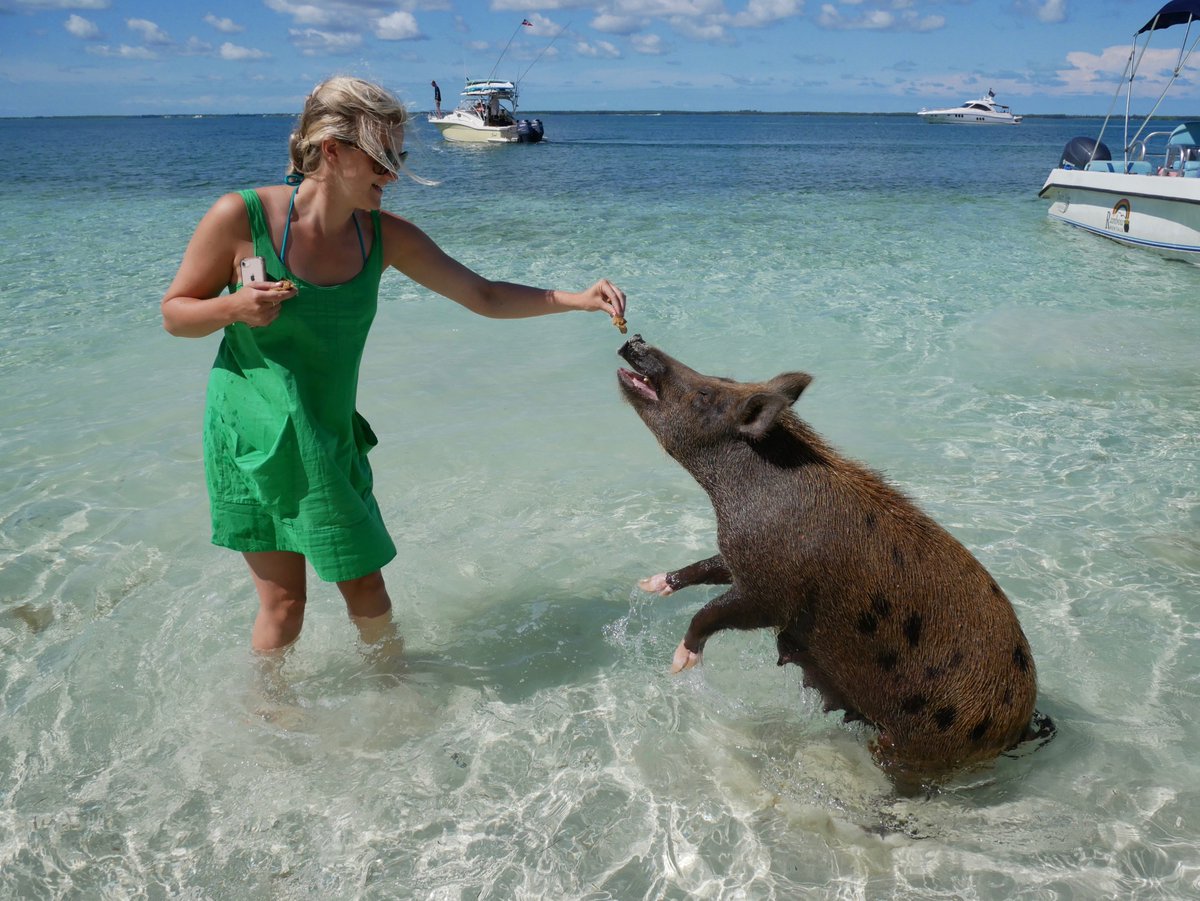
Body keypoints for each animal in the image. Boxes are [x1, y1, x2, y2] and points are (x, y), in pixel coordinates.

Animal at [616, 335, 1043, 789]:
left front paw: (679, 665)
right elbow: (709, 567)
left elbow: (713, 613)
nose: (636, 340)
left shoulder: (771, 593)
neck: (736, 493)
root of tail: (1021, 726)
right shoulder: (741, 555)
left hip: (922, 745)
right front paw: (651, 584)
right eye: (720, 378)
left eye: (705, 395)